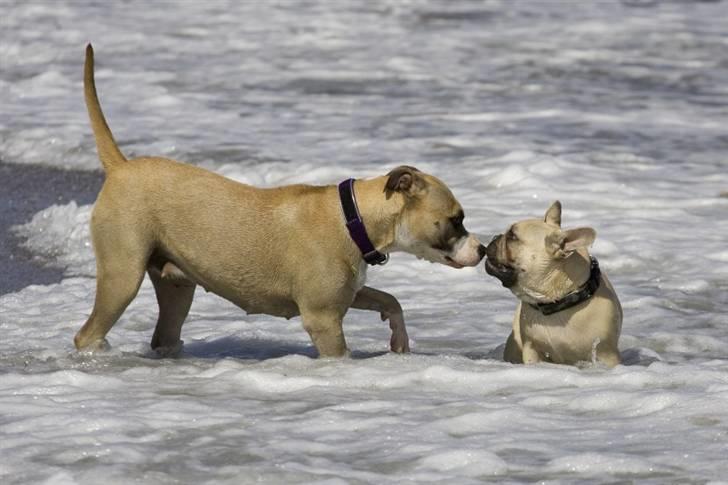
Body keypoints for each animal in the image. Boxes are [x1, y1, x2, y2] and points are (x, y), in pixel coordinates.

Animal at [74, 45, 486, 356]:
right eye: (456, 219)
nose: (483, 250)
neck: (354, 219)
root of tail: (121, 166)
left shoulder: (346, 294)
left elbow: (390, 300)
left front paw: (399, 338)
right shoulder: (323, 319)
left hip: (176, 284)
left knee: (167, 330)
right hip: (122, 276)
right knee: (89, 332)